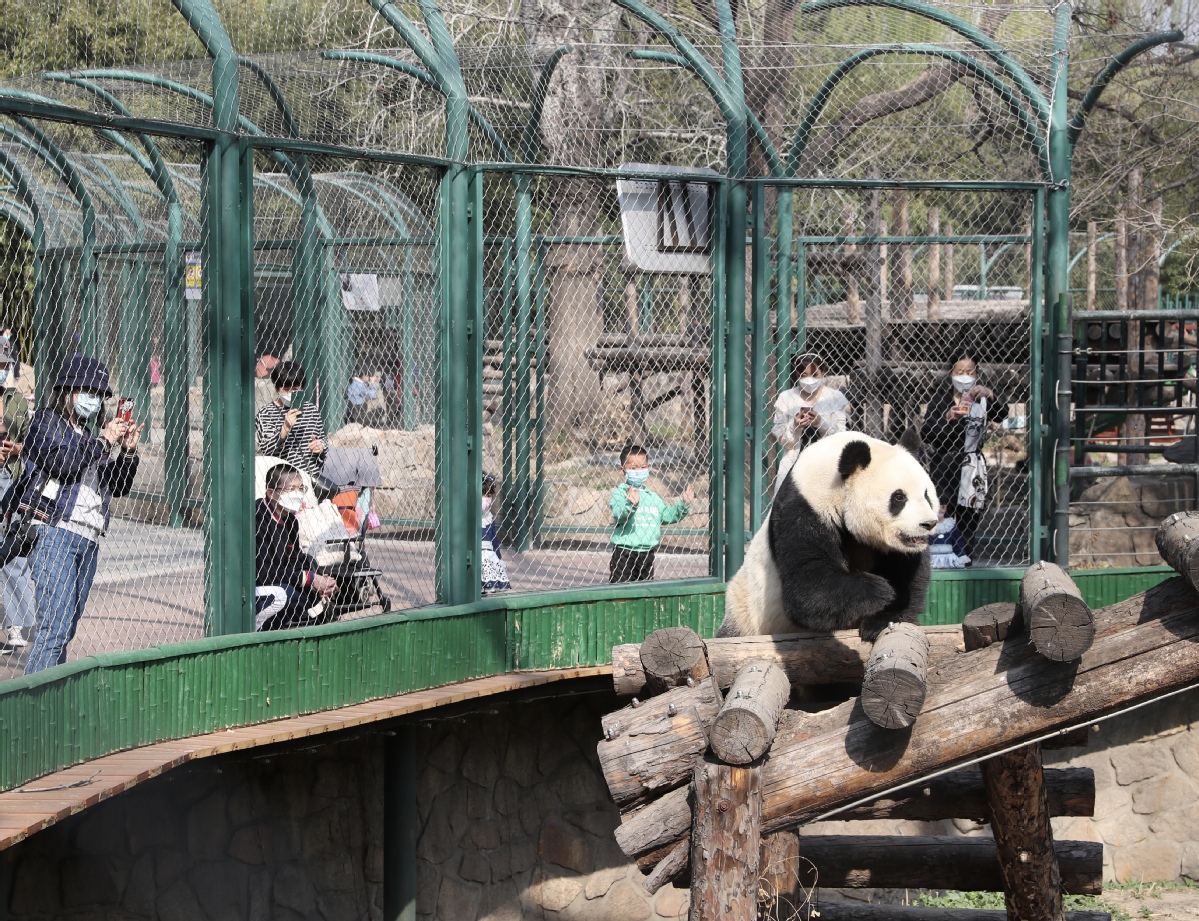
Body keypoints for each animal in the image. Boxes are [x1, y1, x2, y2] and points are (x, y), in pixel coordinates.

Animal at [719, 429, 935, 642]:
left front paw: (881, 620)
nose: (928, 524)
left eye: (927, 496)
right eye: (899, 497)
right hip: (745, 612)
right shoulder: (804, 508)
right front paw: (878, 589)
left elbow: (907, 576)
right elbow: (808, 587)